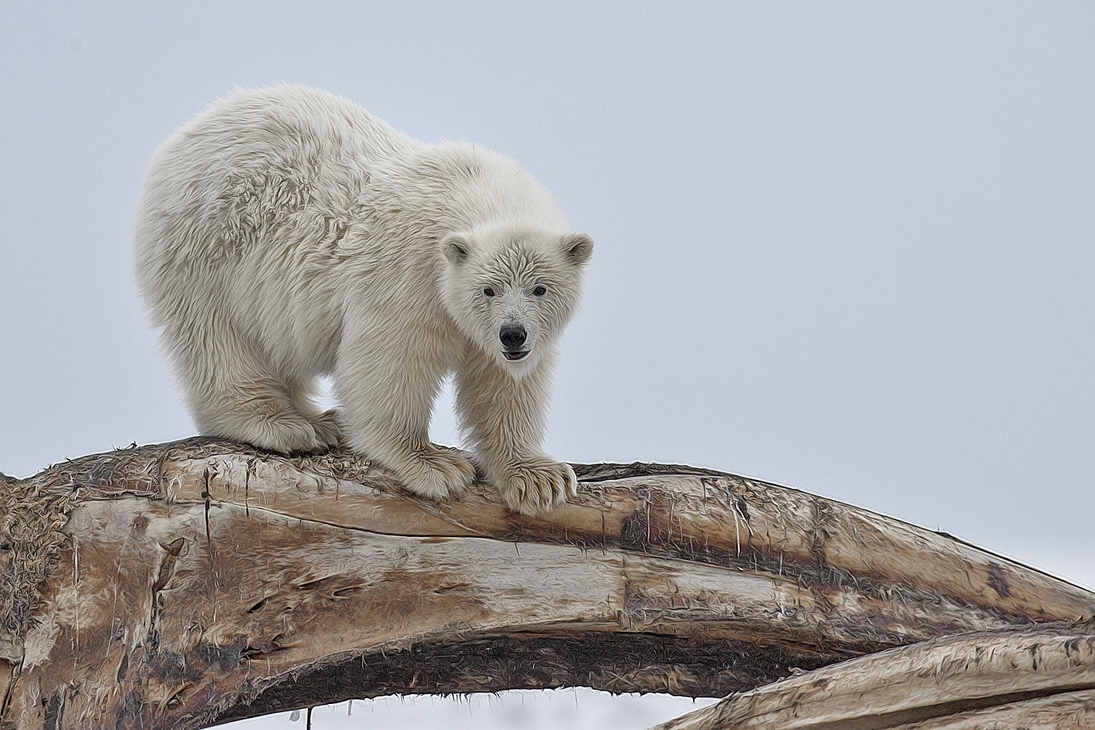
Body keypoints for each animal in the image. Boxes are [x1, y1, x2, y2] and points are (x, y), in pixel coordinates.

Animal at [137, 85, 600, 514]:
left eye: (540, 288)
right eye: (488, 289)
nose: (512, 334)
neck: (471, 190)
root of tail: (184, 137)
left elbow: (504, 385)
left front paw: (539, 479)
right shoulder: (408, 273)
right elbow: (389, 362)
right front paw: (435, 464)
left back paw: (319, 420)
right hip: (209, 250)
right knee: (219, 341)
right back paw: (283, 424)